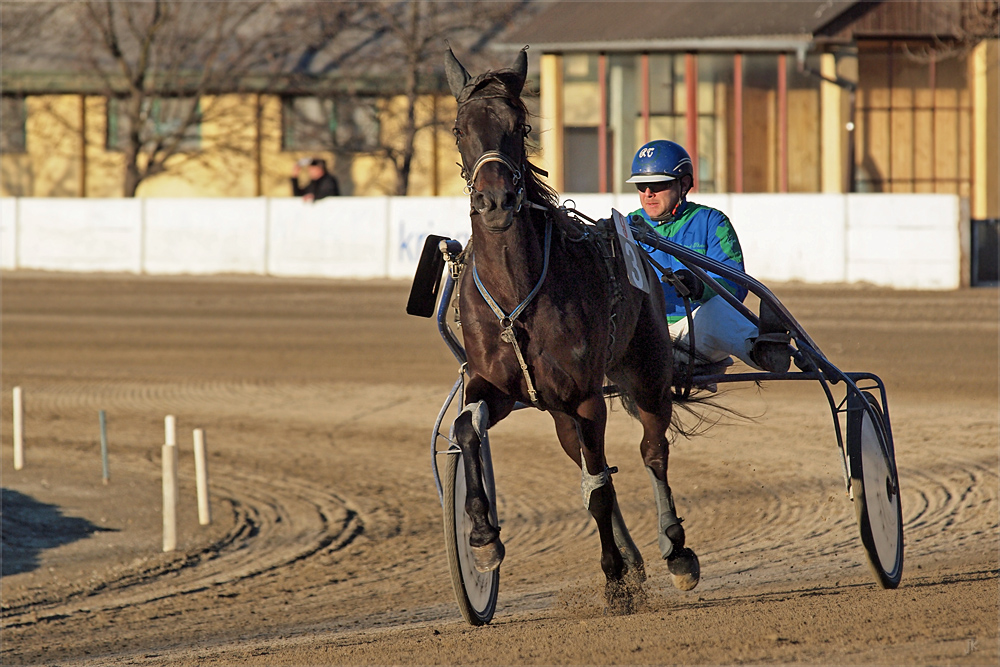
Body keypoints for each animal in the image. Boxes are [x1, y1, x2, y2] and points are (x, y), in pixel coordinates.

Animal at [450, 47, 700, 612]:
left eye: (519, 126)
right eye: (459, 128)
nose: (494, 202)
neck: (516, 290)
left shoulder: (584, 395)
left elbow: (602, 490)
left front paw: (614, 581)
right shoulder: (496, 386)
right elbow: (467, 429)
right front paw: (483, 538)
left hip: (646, 374)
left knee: (650, 452)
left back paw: (674, 551)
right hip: (560, 411)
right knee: (592, 463)